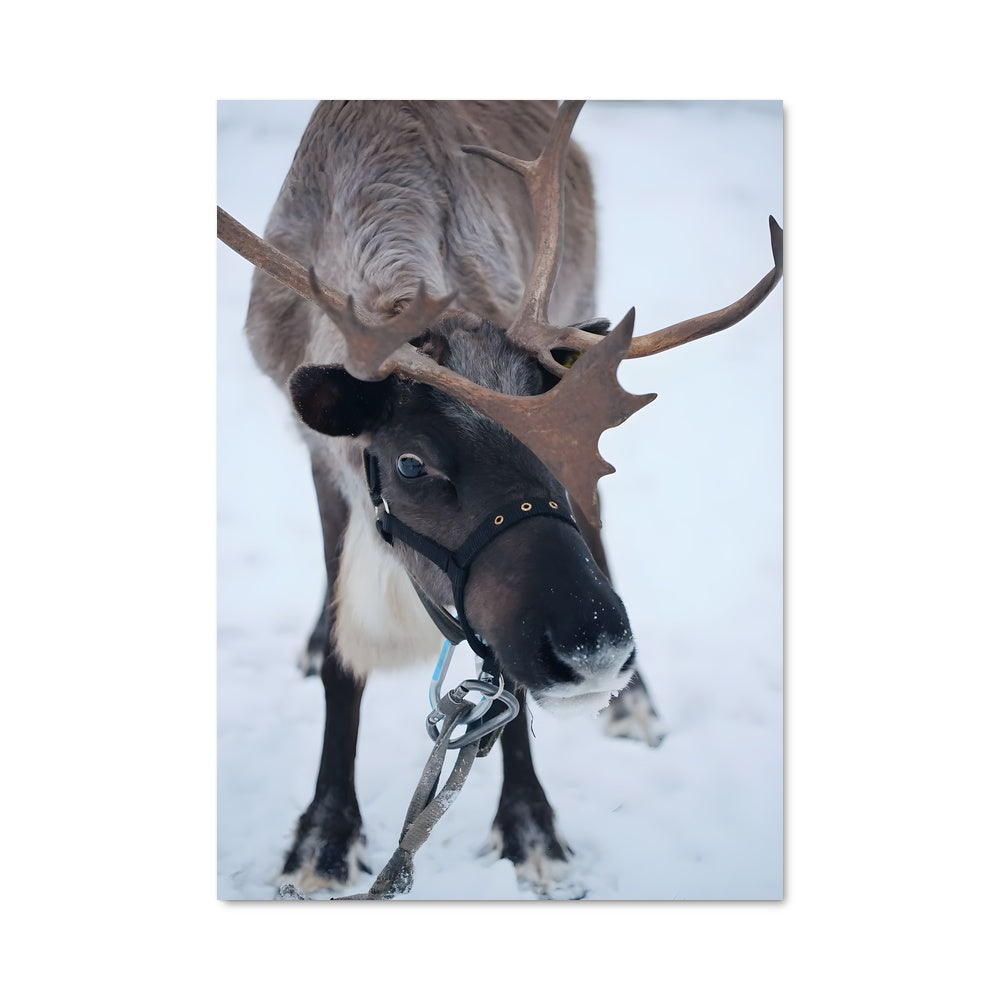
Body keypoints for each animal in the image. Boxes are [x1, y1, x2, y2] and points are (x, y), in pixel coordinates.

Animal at [217, 100, 782, 896]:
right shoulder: (326, 464)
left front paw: (531, 828)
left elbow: (502, 685)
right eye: (411, 463)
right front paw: (322, 841)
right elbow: (340, 661)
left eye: (565, 454)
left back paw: (637, 705)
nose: (596, 648)